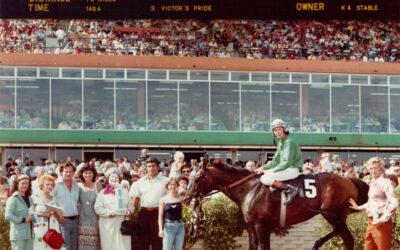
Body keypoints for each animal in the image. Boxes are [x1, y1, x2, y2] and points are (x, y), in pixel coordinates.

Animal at [184, 163, 368, 249]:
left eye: (198, 178)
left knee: (346, 236)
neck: (250, 189)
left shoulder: (262, 227)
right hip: (336, 214)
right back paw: (317, 243)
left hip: (330, 213)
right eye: (190, 177)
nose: (187, 198)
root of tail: (348, 179)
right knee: (343, 235)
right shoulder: (252, 228)